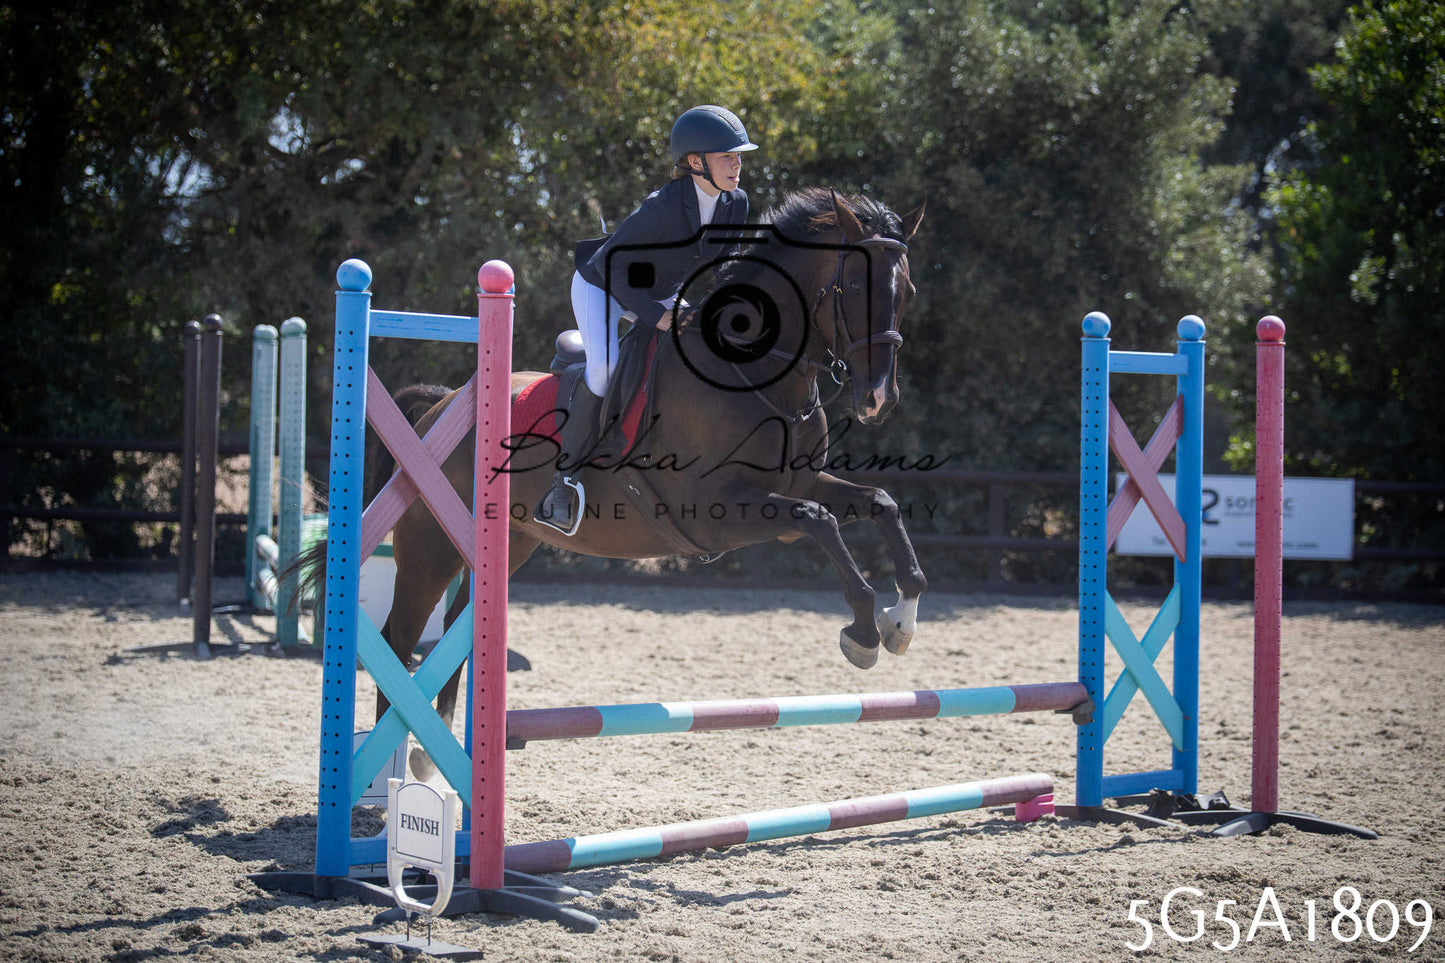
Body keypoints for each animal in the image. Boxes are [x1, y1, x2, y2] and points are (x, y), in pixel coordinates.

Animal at [354, 188, 926, 776]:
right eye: (854, 286)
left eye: (906, 291)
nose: (879, 401)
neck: (758, 379)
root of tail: (442, 406)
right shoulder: (718, 513)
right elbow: (821, 521)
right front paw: (863, 633)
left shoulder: (797, 488)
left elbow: (878, 503)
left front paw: (900, 622)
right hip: (431, 549)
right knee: (400, 636)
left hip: (509, 544)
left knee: (459, 627)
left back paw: (428, 758)